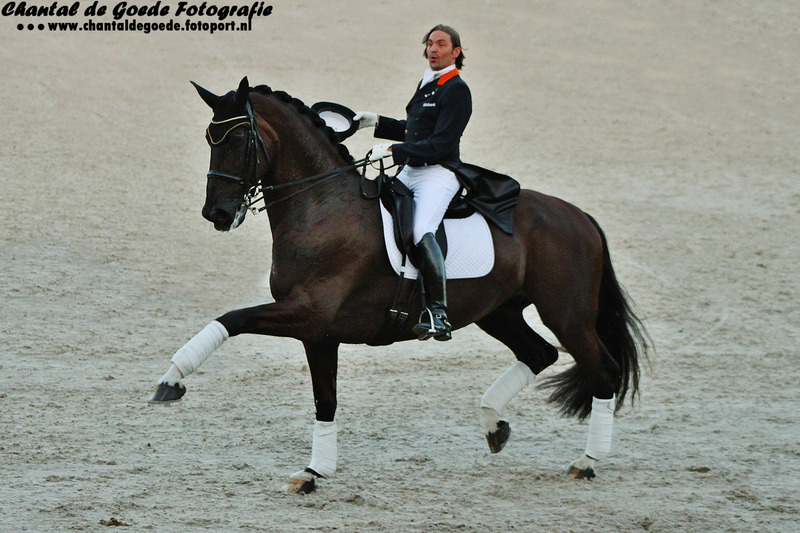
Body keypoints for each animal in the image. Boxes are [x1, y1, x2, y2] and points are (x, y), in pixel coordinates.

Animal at [149, 76, 649, 494]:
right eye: (209, 139)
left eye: (238, 139)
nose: (216, 214)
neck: (321, 206)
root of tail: (578, 216)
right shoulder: (318, 332)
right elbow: (325, 399)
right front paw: (314, 472)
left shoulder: (306, 313)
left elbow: (230, 319)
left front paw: (170, 381)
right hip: (498, 312)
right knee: (539, 353)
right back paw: (494, 426)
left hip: (566, 313)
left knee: (602, 371)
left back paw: (586, 462)